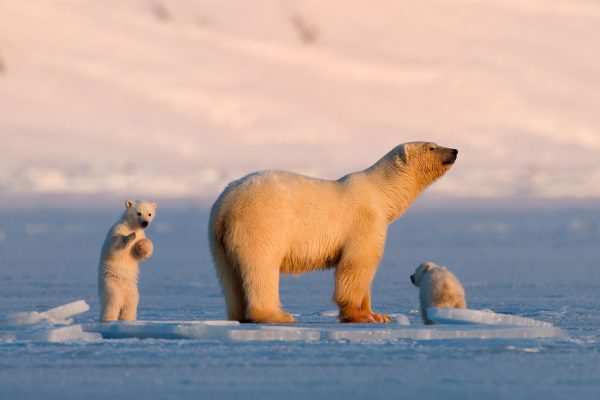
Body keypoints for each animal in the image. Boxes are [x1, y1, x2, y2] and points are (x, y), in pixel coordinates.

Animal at [209, 142, 458, 324]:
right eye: (431, 147)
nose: (455, 151)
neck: (380, 192)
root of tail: (227, 204)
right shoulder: (364, 222)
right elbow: (357, 265)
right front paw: (361, 316)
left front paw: (379, 315)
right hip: (262, 222)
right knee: (262, 265)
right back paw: (276, 315)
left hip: (218, 238)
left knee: (229, 277)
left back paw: (238, 315)